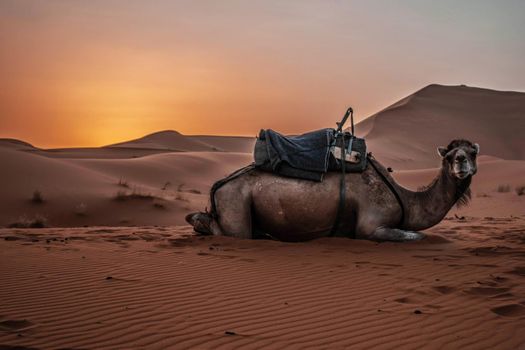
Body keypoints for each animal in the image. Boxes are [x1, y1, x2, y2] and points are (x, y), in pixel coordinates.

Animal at [186, 139, 476, 241]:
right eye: (449, 156)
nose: (461, 162)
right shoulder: (371, 225)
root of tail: (219, 184)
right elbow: (418, 236)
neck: (407, 198)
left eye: (472, 152)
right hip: (235, 204)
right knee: (229, 231)